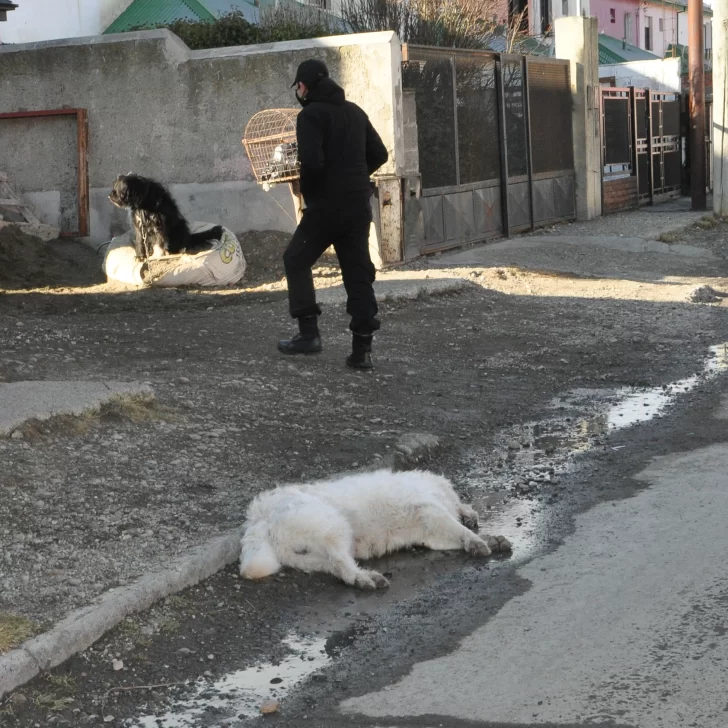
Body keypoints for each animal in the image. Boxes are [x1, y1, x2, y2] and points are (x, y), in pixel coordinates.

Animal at [240, 466, 512, 592]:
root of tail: (260, 515)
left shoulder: (432, 532)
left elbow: (457, 533)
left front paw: (489, 538)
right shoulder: (431, 510)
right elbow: (461, 530)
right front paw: (478, 539)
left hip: (307, 556)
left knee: (339, 567)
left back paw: (363, 577)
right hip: (332, 524)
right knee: (340, 560)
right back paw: (365, 579)